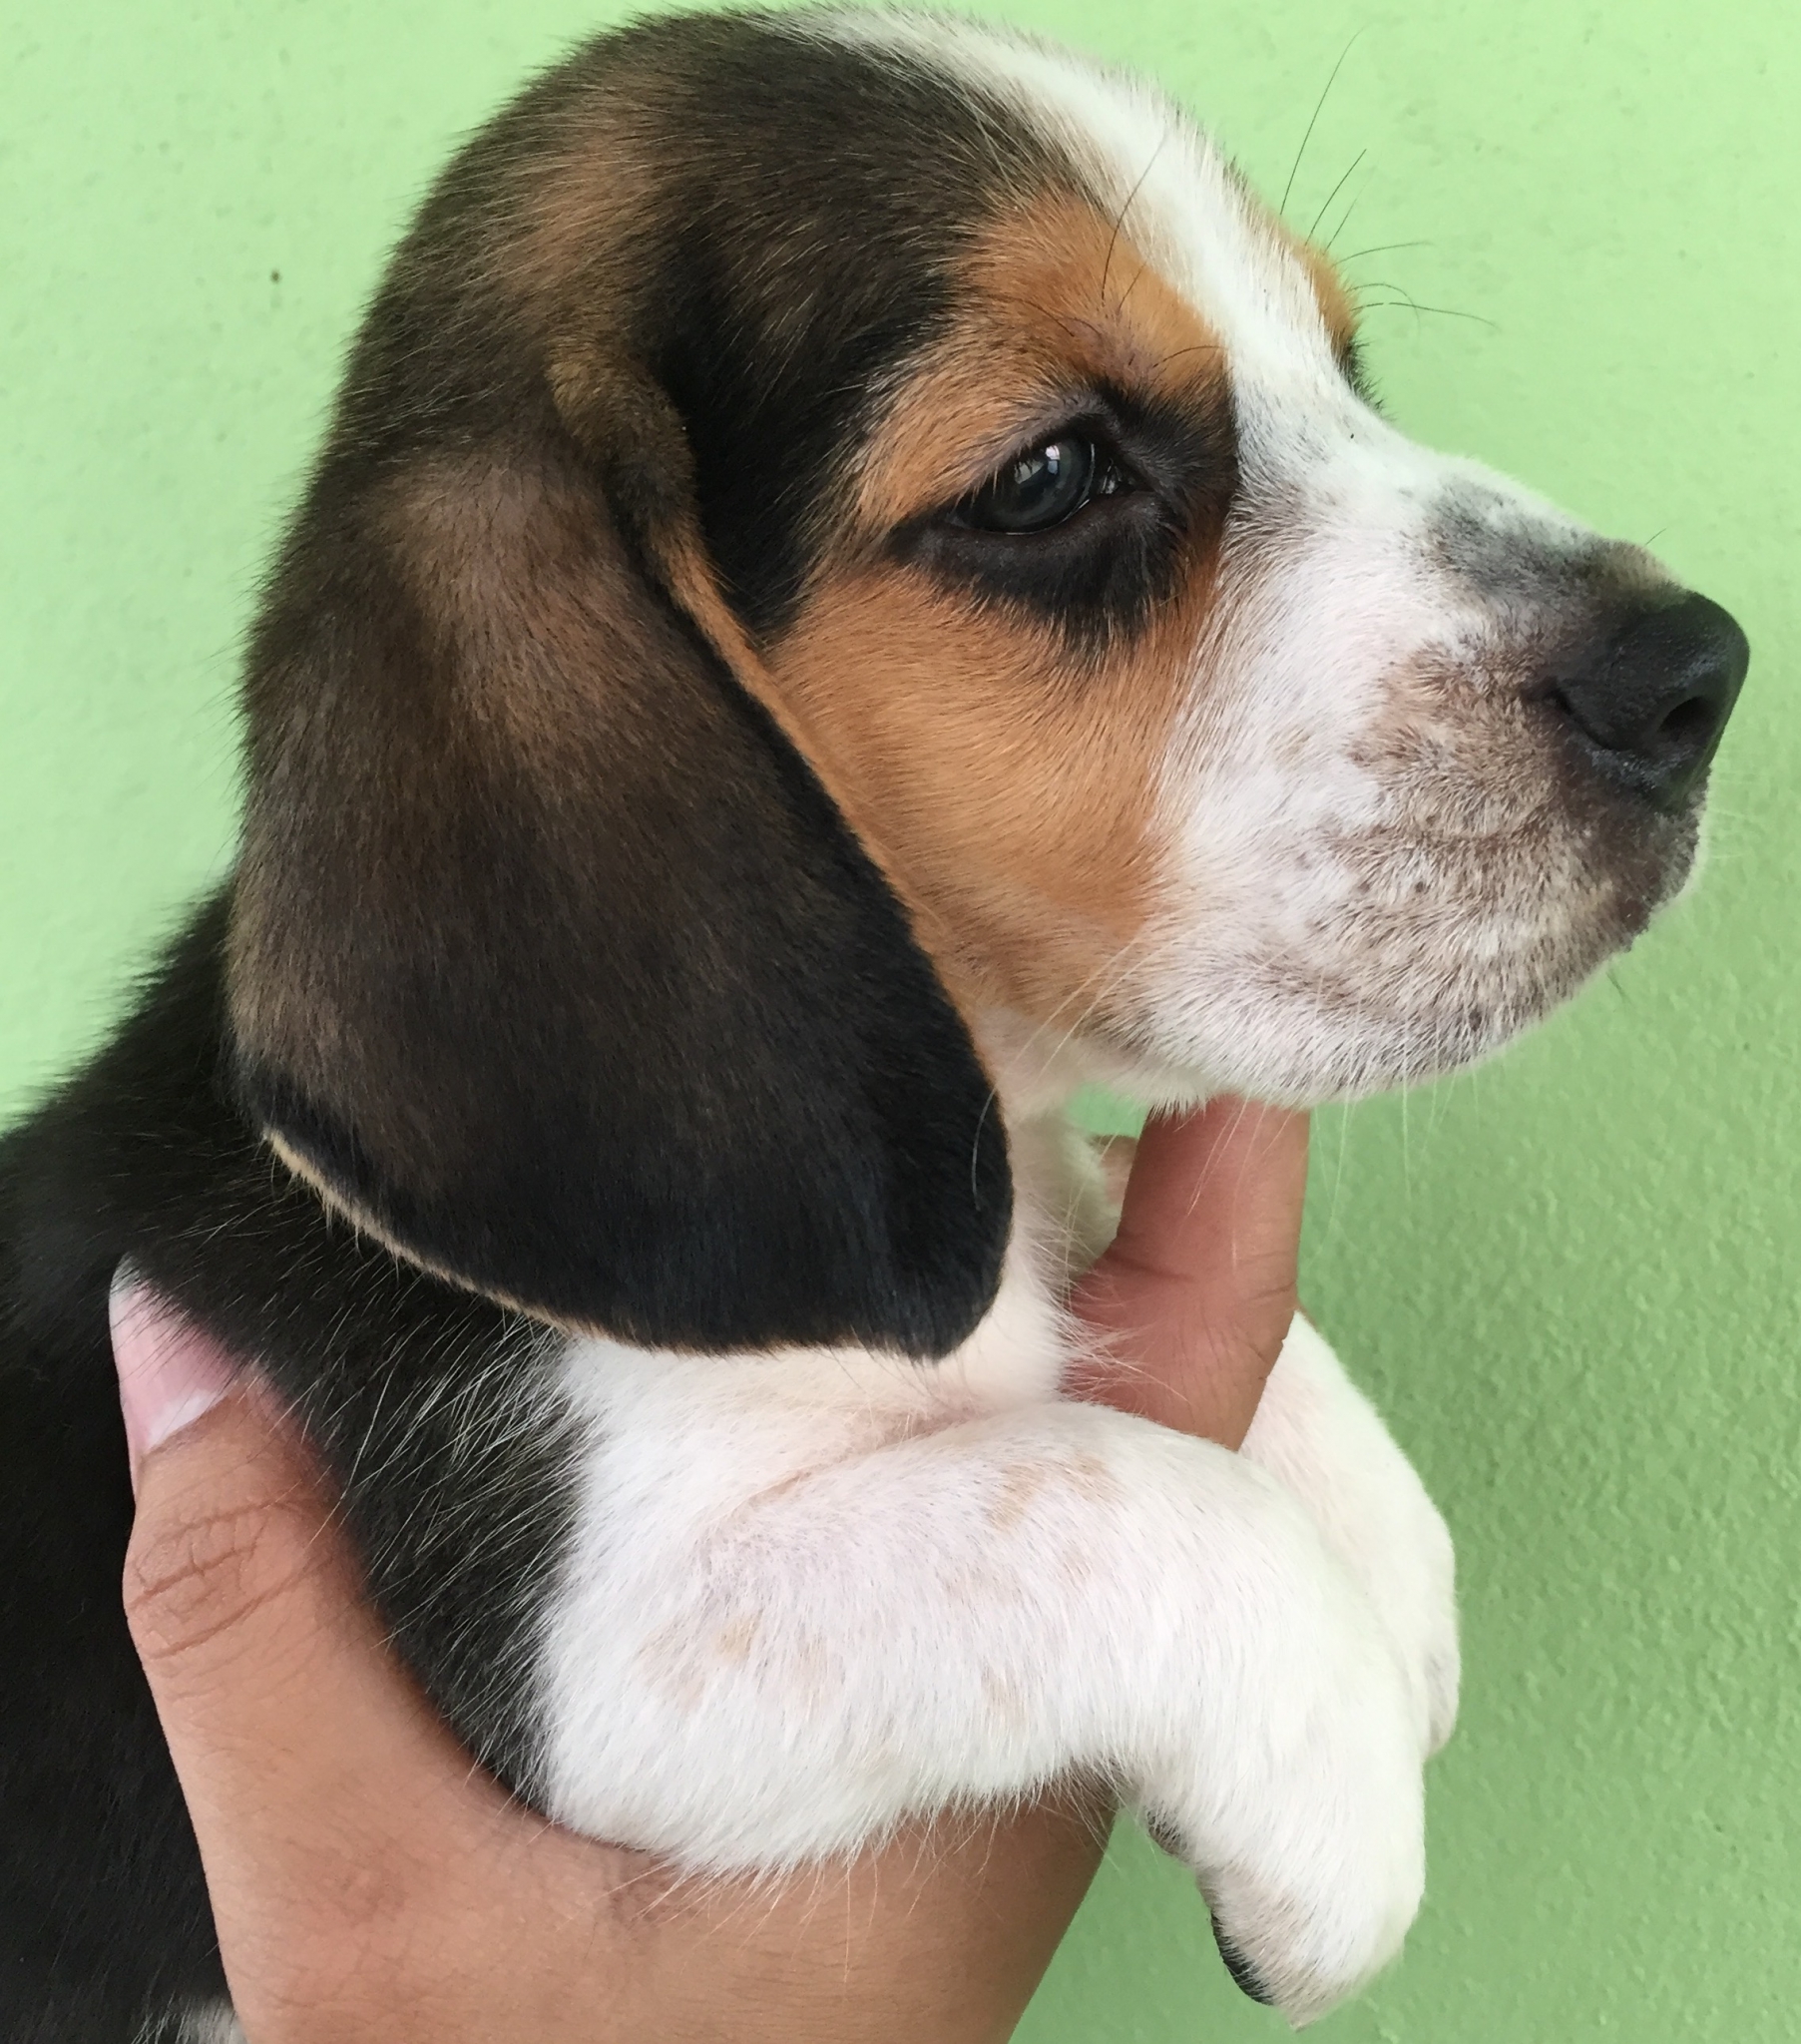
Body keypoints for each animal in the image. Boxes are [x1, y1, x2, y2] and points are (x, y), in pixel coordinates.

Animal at [0, 9, 1748, 2037]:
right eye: (1049, 474)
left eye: (1341, 366)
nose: (1696, 673)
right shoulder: (601, 1652)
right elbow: (1104, 1502)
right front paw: (1339, 1795)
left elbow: (1104, 1259)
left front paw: (1378, 1529)